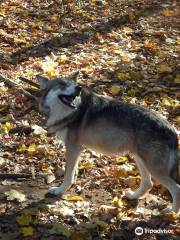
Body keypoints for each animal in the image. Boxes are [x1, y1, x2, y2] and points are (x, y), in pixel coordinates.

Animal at [35, 72, 179, 213]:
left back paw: (172, 212)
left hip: (152, 167)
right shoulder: (76, 149)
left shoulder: (73, 147)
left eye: (74, 83)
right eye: (62, 84)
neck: (70, 112)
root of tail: (171, 129)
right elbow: (73, 172)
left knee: (176, 188)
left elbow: (68, 175)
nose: (78, 88)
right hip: (139, 159)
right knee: (148, 183)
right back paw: (132, 196)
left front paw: (60, 191)